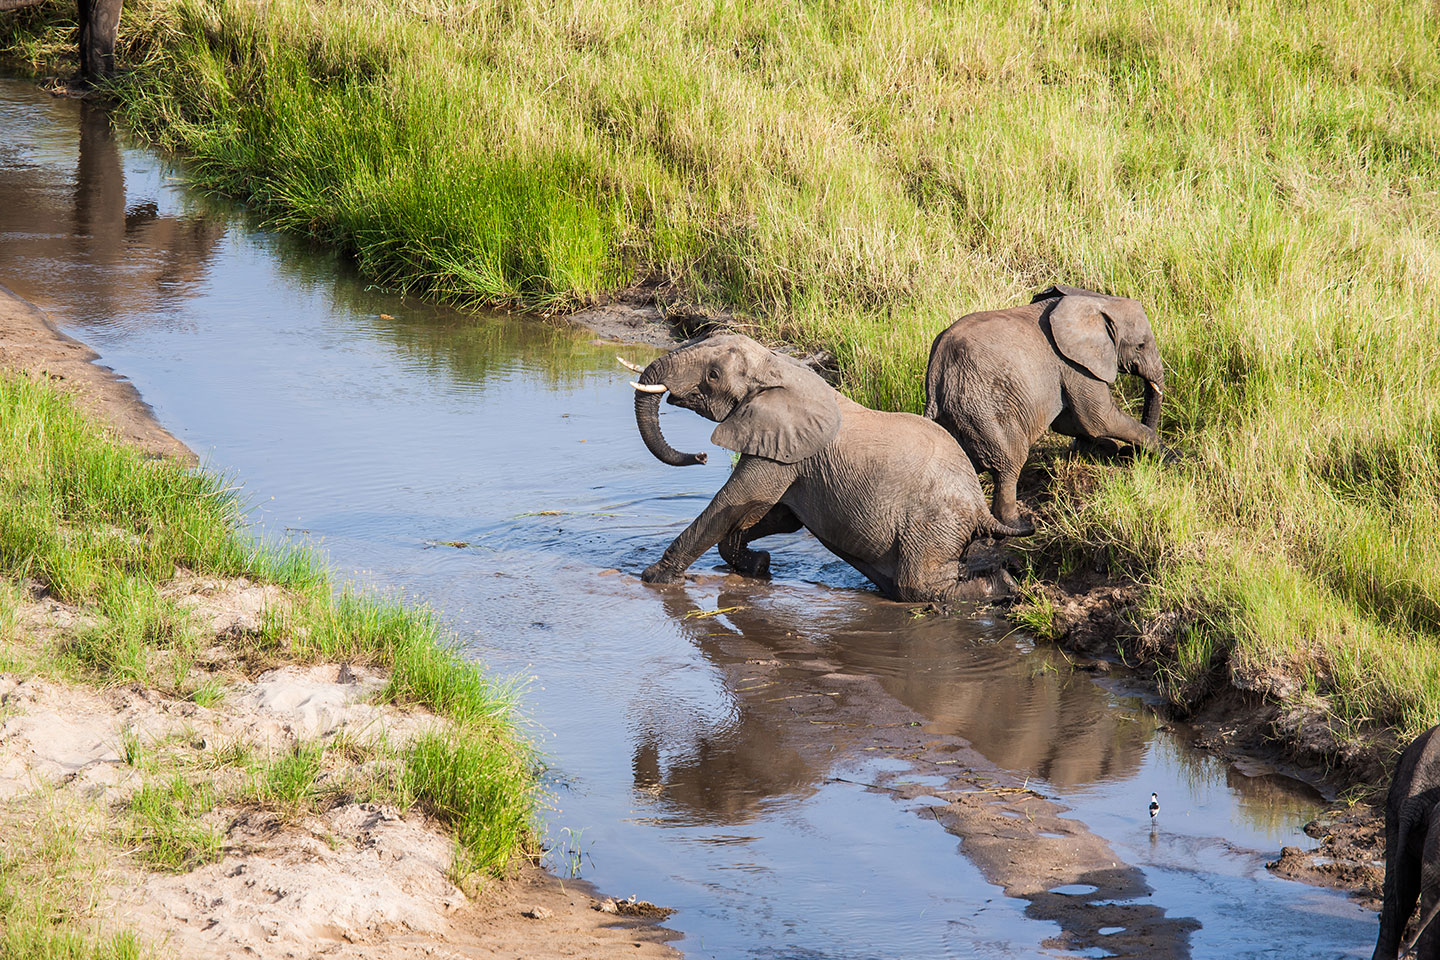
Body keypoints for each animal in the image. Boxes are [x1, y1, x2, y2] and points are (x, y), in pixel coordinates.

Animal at [624, 334, 1023, 602]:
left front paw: (653, 578)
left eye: (713, 375)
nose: (702, 457)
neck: (777, 366)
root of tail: (979, 507)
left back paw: (1001, 585)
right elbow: (777, 516)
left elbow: (733, 503)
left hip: (931, 523)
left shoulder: (783, 450)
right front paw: (758, 566)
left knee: (920, 586)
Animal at [924, 284, 1168, 533]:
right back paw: (1020, 526)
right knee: (1010, 461)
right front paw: (1168, 455)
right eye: (1140, 346)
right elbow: (1098, 418)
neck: (1095, 301)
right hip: (981, 410)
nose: (1130, 454)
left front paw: (1102, 449)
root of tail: (935, 376)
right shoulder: (1074, 364)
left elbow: (1071, 422)